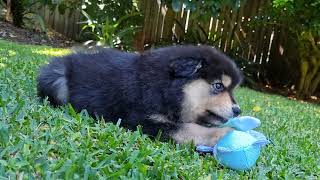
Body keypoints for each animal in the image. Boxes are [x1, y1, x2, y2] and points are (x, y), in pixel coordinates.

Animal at [37, 45, 242, 146]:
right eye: (218, 85)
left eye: (231, 89)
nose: (238, 110)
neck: (163, 87)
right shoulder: (142, 120)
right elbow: (187, 129)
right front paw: (224, 133)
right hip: (56, 77)